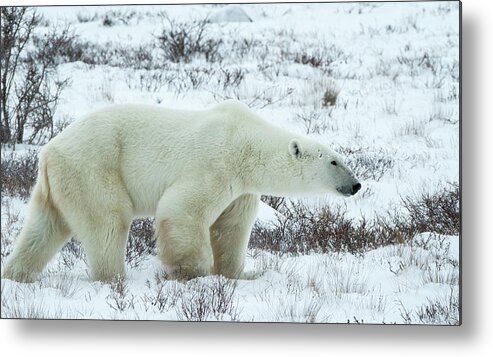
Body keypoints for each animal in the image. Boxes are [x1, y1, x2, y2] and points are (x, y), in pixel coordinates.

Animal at [1, 100, 360, 280]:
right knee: (108, 222)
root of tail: (48, 152)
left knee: (43, 228)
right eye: (334, 161)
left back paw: (17, 274)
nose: (356, 185)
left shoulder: (242, 188)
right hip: (94, 167)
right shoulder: (215, 163)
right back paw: (114, 278)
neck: (245, 143)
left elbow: (231, 228)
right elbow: (182, 210)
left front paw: (236, 274)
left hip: (58, 183)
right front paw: (191, 271)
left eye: (343, 158)